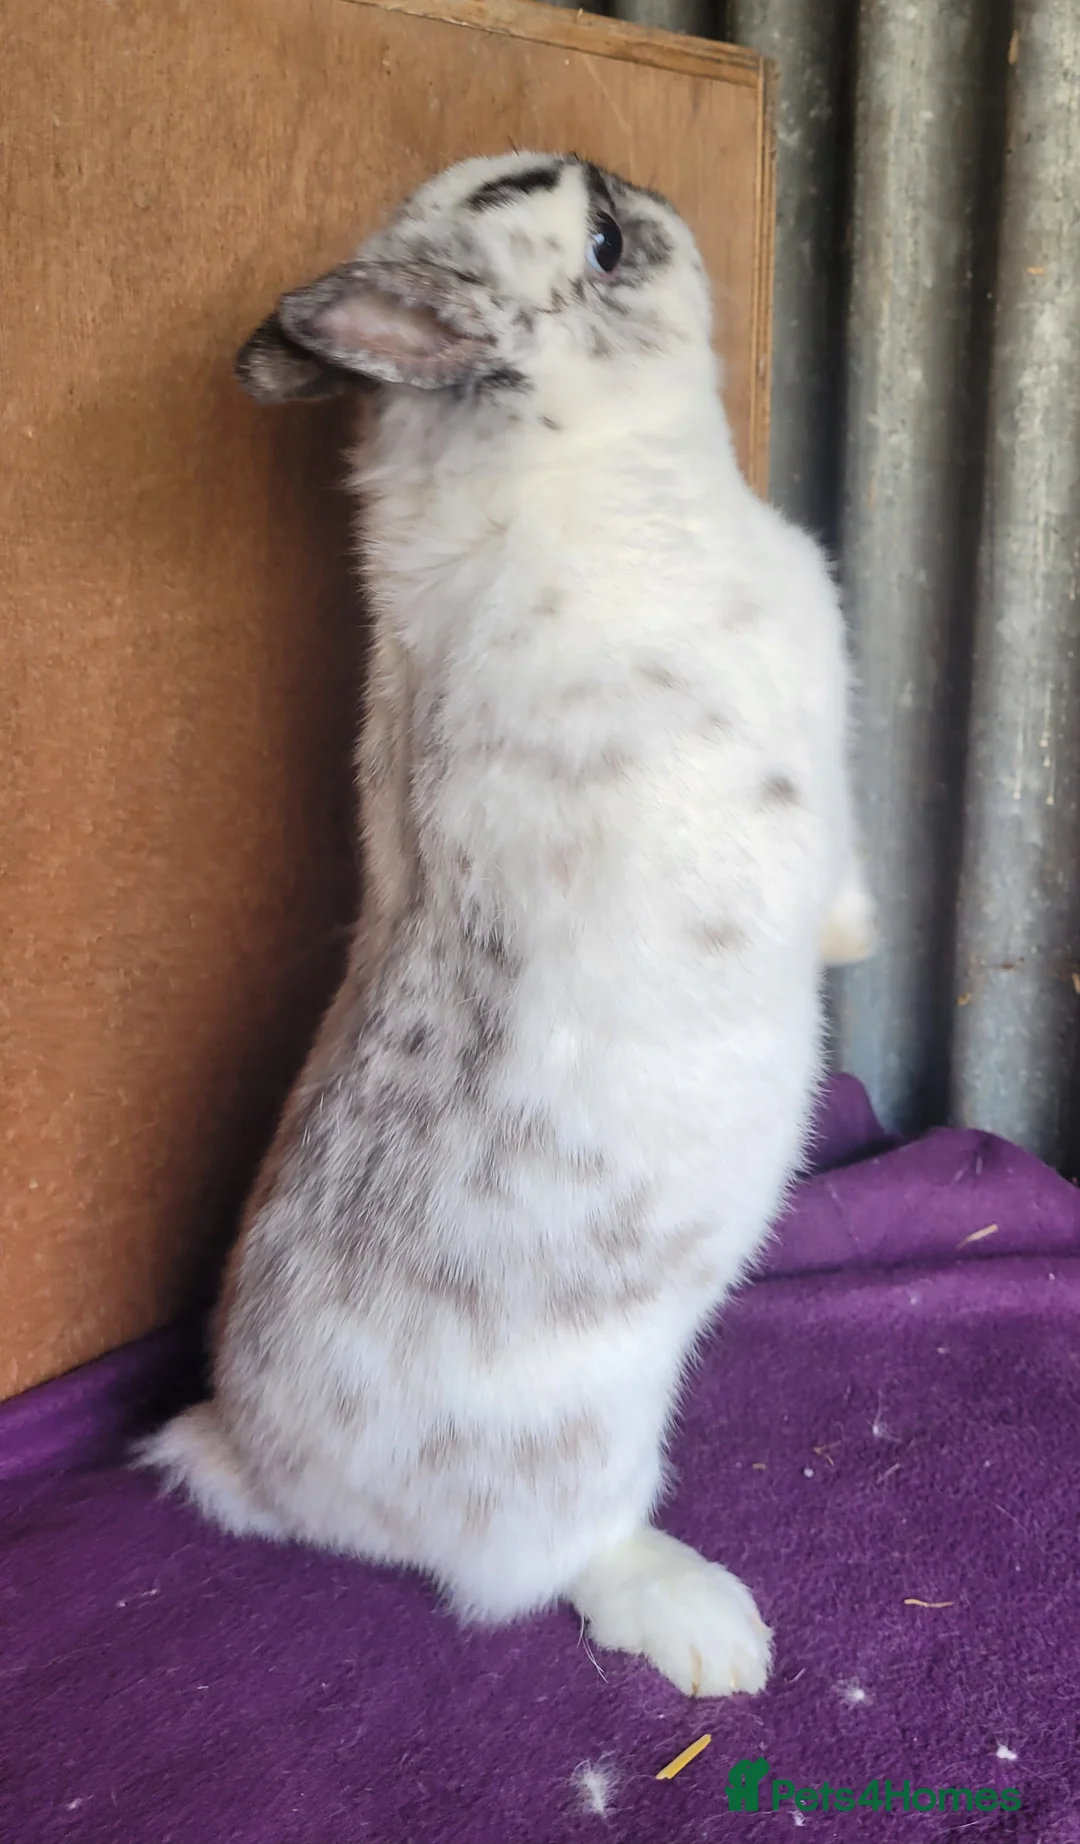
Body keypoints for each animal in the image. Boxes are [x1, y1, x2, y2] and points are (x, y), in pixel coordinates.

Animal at [141, 151, 874, 1698]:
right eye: (594, 239)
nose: (647, 194)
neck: (581, 454)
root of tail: (264, 1467)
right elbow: (848, 862)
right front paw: (856, 940)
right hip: (579, 1462)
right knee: (546, 1567)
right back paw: (713, 1631)